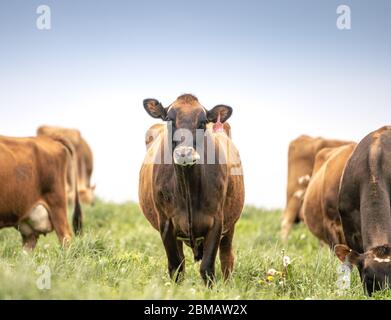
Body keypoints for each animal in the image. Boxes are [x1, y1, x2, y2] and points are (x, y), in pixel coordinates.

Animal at [139, 93, 245, 284]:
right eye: (169, 119)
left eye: (203, 122)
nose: (184, 153)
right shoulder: (165, 222)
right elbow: (176, 267)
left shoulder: (217, 221)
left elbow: (207, 268)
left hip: (230, 225)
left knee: (227, 259)